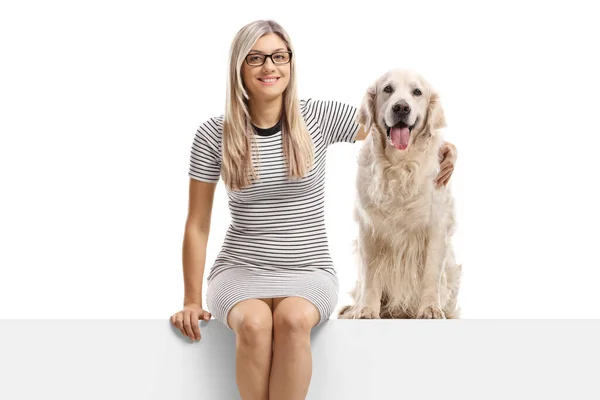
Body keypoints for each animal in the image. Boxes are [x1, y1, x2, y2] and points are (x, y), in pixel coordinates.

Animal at [340, 68, 462, 318]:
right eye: (388, 89)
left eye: (417, 92)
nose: (401, 108)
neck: (398, 165)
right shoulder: (369, 227)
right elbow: (370, 275)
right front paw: (366, 309)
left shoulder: (436, 226)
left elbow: (430, 273)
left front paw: (430, 308)